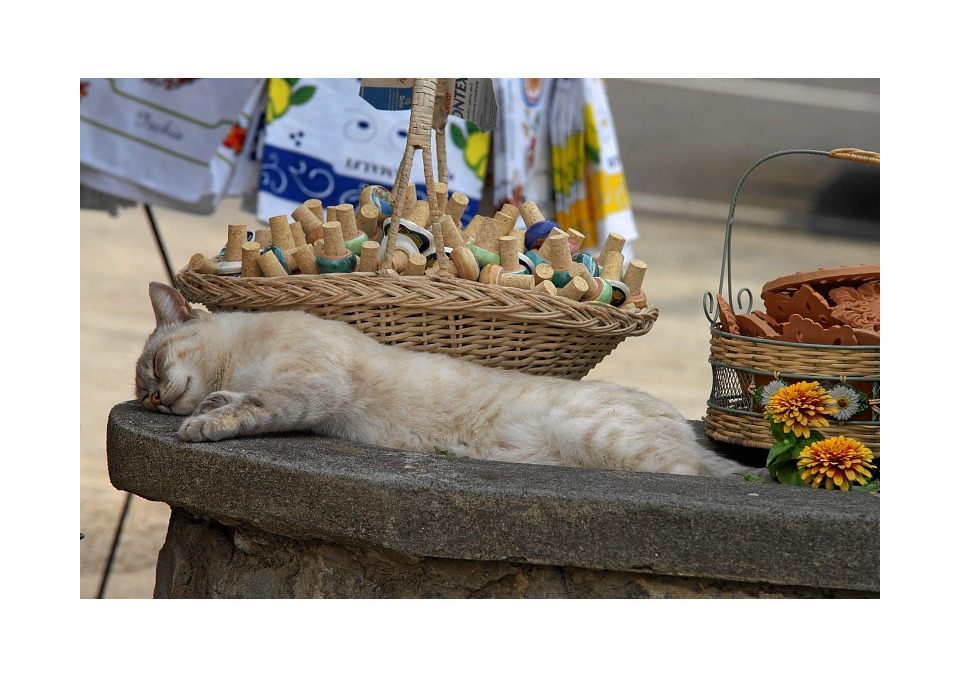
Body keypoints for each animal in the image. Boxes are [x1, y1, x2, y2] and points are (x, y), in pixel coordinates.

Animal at [137, 282, 756, 478]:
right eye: (142, 390)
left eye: (152, 368)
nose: (153, 400)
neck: (241, 354)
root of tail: (679, 420)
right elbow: (236, 398)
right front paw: (208, 406)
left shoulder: (311, 386)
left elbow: (250, 406)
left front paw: (200, 425)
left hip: (608, 441)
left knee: (696, 473)